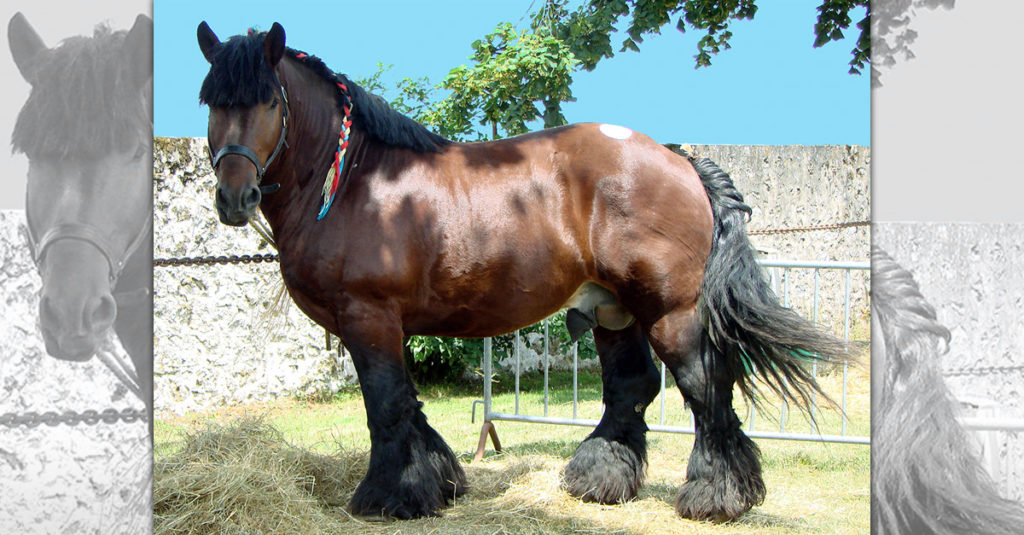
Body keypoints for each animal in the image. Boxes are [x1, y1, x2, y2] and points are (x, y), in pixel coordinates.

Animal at [195, 21, 848, 522]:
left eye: (268, 101)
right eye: (211, 102)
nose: (234, 197)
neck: (357, 180)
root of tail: (678, 159)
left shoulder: (368, 317)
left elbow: (385, 406)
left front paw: (389, 497)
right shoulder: (391, 326)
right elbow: (409, 406)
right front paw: (438, 482)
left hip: (670, 311)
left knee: (705, 387)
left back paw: (716, 496)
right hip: (613, 310)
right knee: (632, 387)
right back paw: (599, 478)